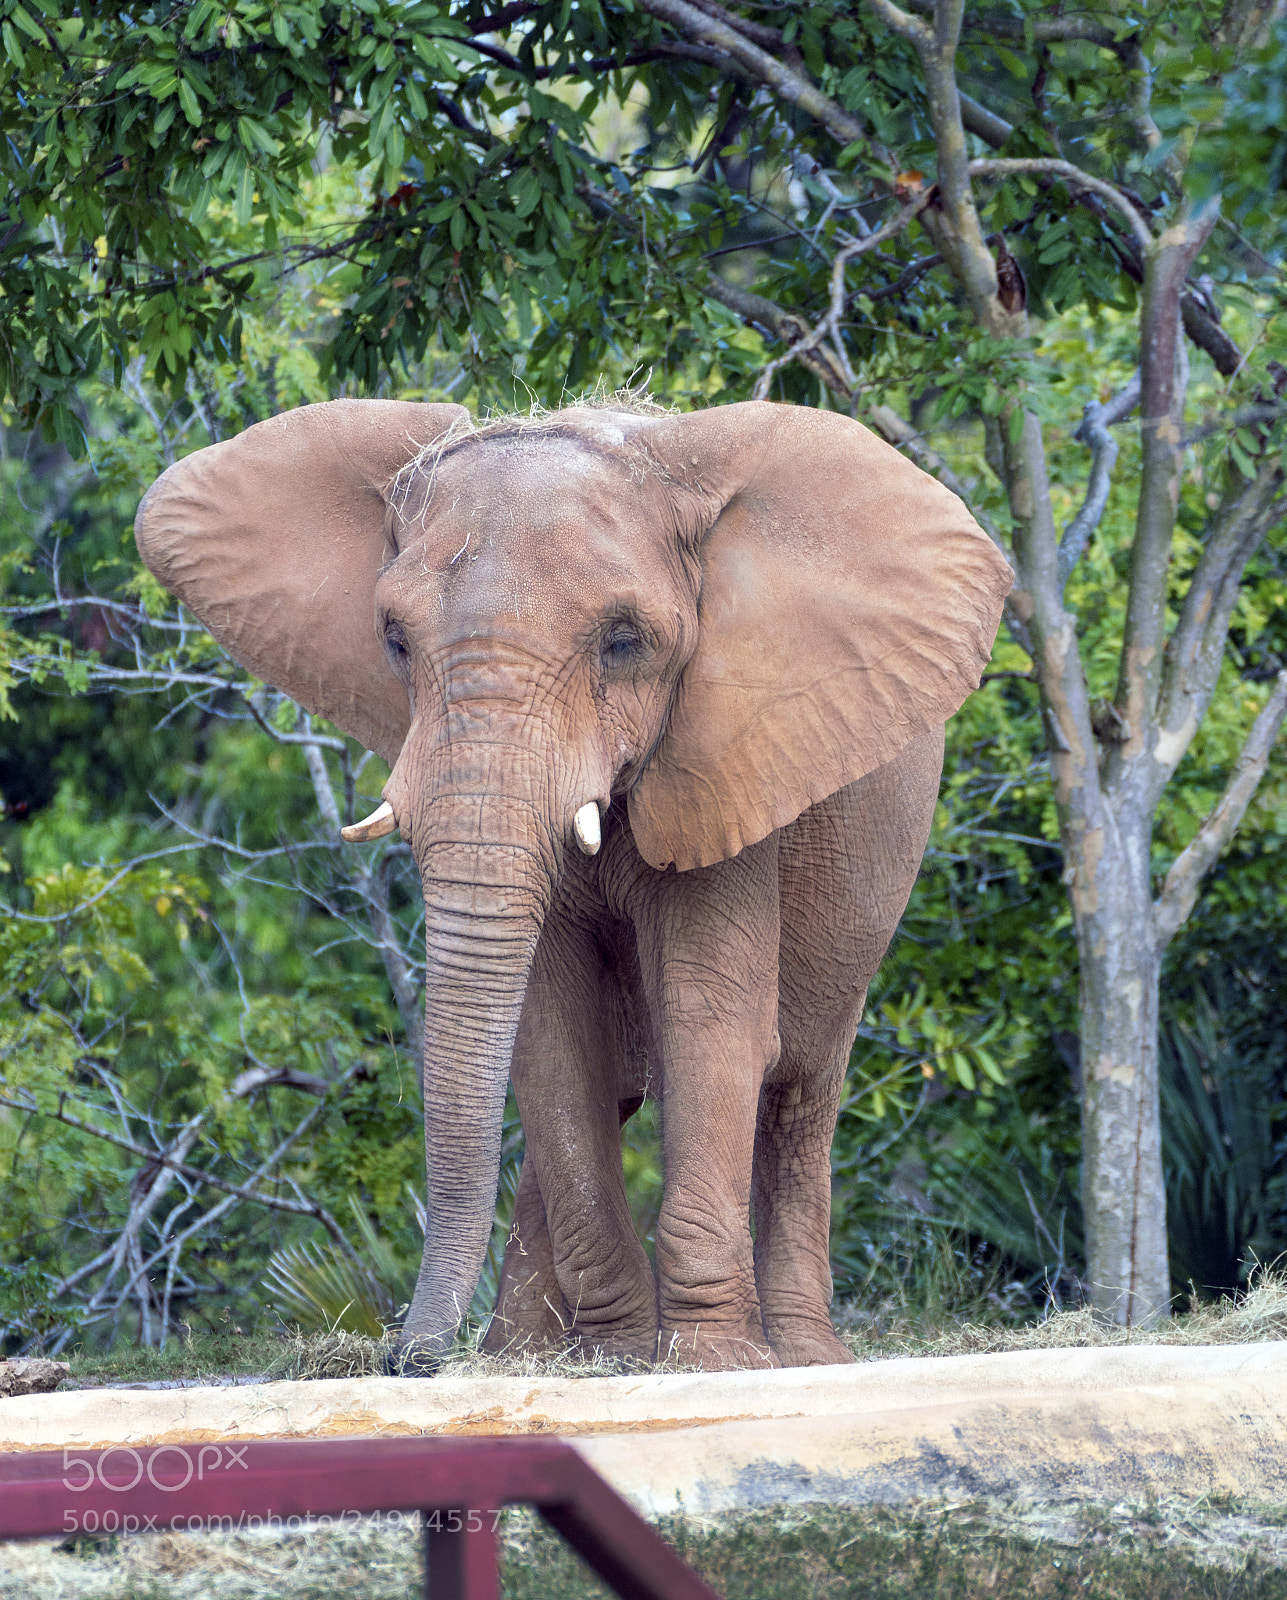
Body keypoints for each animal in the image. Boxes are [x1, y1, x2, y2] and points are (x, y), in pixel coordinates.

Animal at [135, 396, 1011, 1371]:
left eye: (624, 643)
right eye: (393, 641)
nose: (410, 1356)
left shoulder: (724, 763)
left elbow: (709, 1024)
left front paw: (710, 1362)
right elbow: (553, 1034)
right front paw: (611, 1357)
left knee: (799, 1087)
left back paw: (803, 1357)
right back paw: (519, 1349)